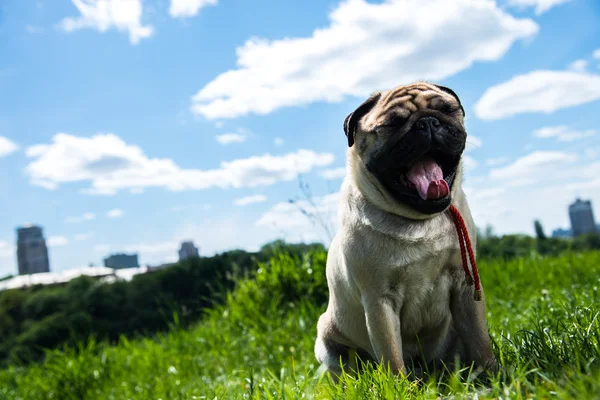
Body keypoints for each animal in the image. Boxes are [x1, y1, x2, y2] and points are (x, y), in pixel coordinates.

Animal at [314, 82, 496, 382]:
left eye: (447, 110)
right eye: (393, 123)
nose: (428, 122)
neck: (419, 219)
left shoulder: (466, 283)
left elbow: (479, 338)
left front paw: (492, 375)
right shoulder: (379, 301)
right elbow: (391, 355)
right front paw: (399, 386)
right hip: (327, 341)